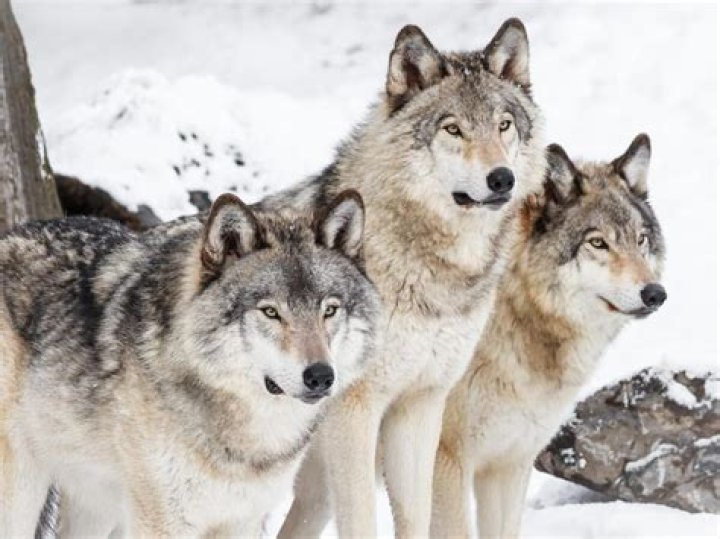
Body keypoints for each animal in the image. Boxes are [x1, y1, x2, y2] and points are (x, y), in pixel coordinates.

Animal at [0, 191, 381, 537]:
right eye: (271, 312)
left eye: (329, 310)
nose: (321, 376)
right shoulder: (164, 522)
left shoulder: (242, 520)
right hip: (23, 493)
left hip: (95, 507)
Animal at [260, 18, 547, 538]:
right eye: (453, 128)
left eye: (504, 125)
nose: (502, 178)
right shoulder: (356, 407)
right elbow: (362, 521)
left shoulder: (420, 404)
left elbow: (414, 515)